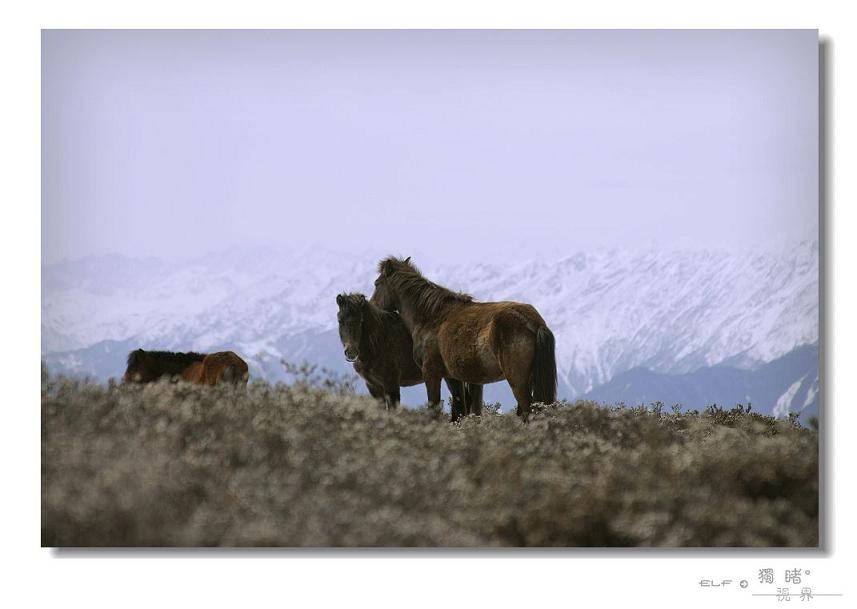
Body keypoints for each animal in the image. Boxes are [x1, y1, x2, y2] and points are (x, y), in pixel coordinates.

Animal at [334, 290, 482, 416]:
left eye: (360, 321)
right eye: (340, 321)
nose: (351, 352)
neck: (379, 341)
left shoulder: (391, 383)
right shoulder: (373, 387)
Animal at [366, 255, 556, 418]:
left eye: (377, 283)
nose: (372, 306)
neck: (431, 316)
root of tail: (534, 322)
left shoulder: (431, 373)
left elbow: (435, 409)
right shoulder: (453, 377)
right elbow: (460, 410)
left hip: (518, 381)